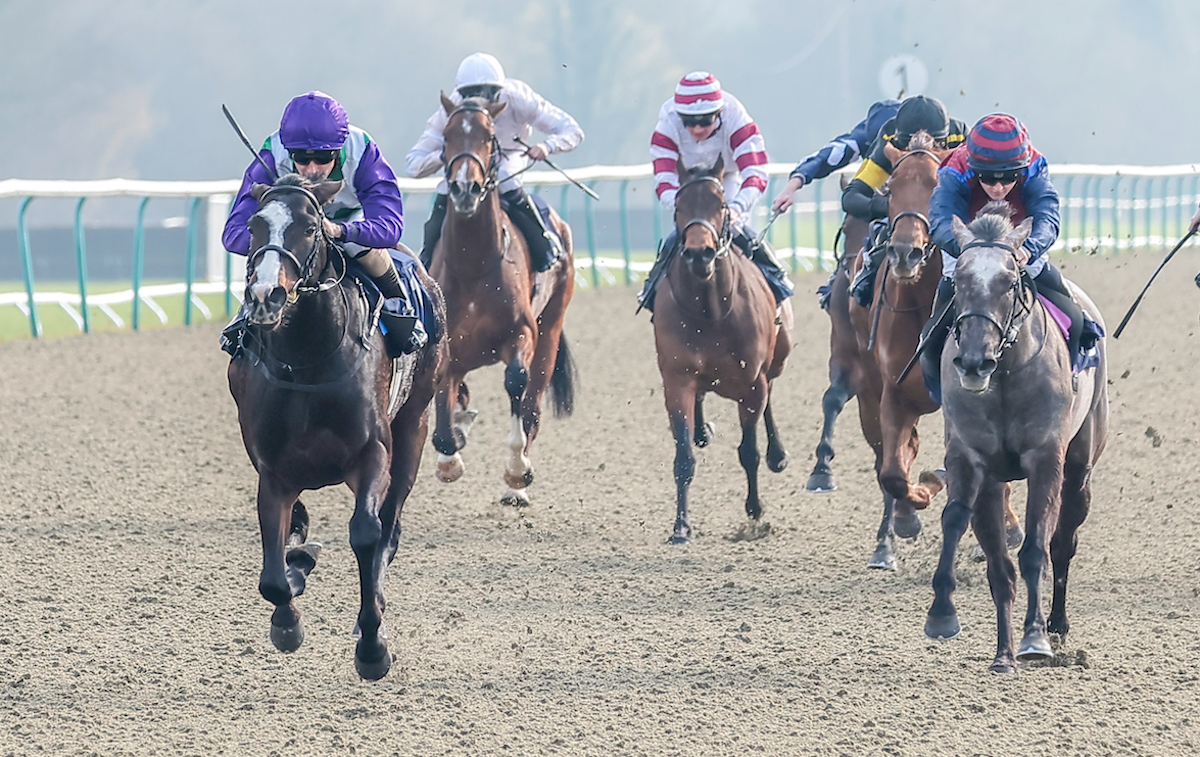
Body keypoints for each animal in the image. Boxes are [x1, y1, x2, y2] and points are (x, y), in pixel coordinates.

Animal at [228, 172, 446, 681]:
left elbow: (367, 534)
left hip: (415, 425)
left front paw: (372, 647)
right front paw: (288, 615)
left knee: (389, 527)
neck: (309, 360)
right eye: (253, 225)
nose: (265, 296)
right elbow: (273, 574)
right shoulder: (274, 471)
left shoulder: (373, 454)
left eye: (310, 228)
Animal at [427, 95, 576, 508]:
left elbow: (516, 382)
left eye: (489, 137)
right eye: (446, 136)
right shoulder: (448, 345)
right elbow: (443, 409)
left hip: (550, 329)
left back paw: (516, 489)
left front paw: (516, 469)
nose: (465, 188)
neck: (474, 264)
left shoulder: (520, 333)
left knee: (532, 405)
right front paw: (449, 457)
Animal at [652, 158, 792, 544]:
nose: (699, 253)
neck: (709, 311)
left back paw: (778, 455)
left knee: (771, 395)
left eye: (722, 206)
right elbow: (683, 456)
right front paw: (681, 526)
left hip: (778, 358)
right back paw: (703, 430)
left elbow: (749, 450)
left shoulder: (752, 382)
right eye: (679, 207)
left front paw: (755, 510)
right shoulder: (677, 380)